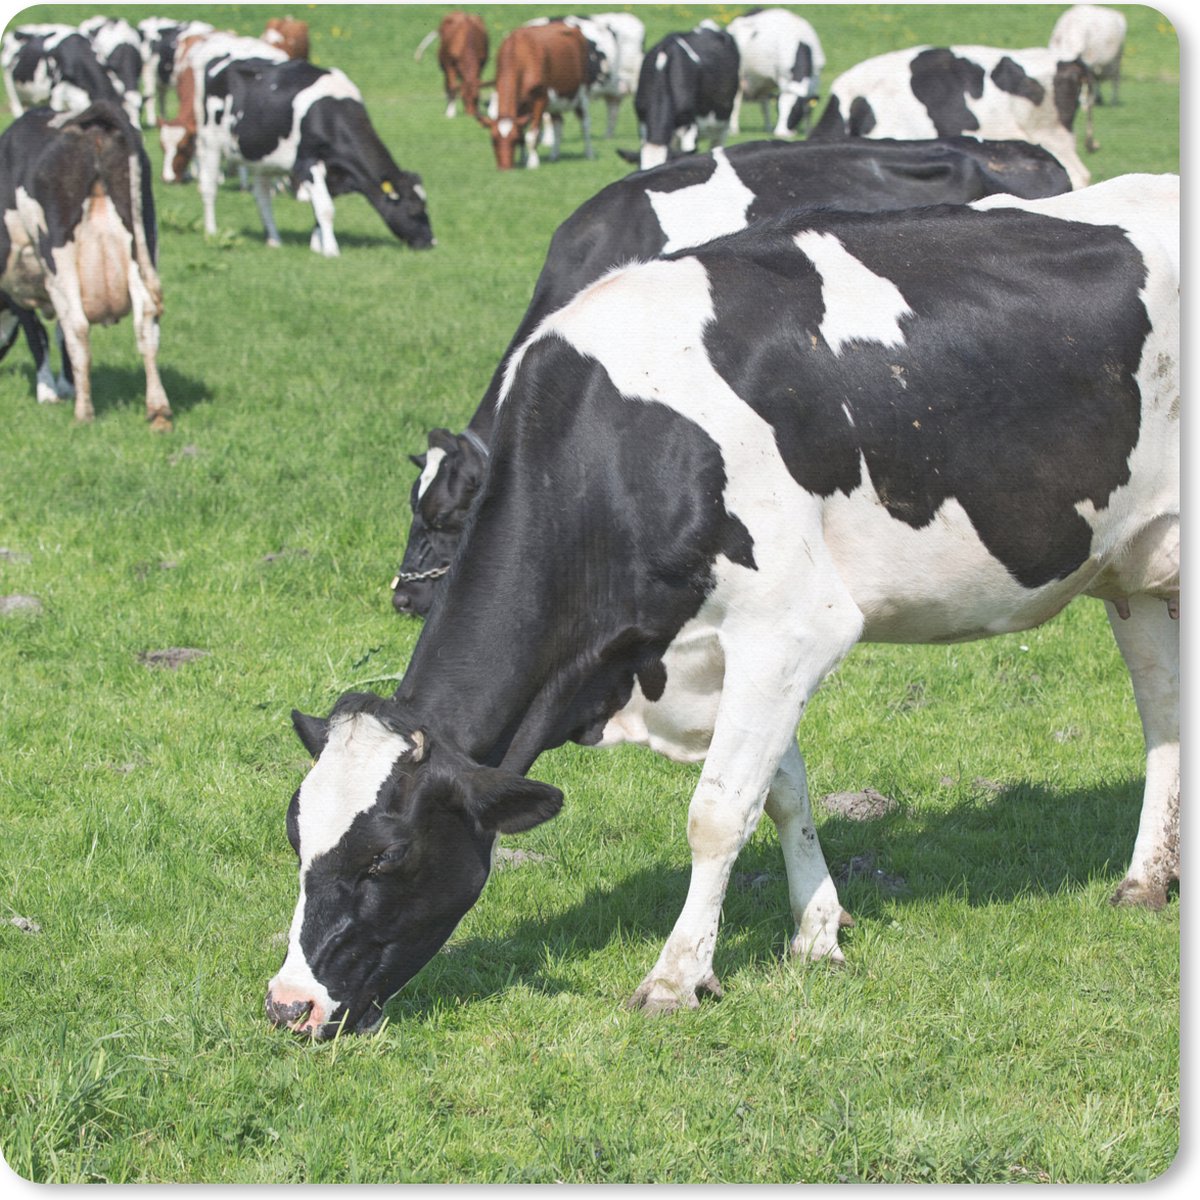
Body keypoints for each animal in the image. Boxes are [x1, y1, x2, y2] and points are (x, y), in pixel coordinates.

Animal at [0, 103, 171, 429]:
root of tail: (95, 118)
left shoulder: (20, 288)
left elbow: (39, 336)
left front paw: (48, 392)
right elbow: (56, 335)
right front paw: (65, 385)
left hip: (58, 255)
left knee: (78, 327)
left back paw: (83, 414)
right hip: (142, 239)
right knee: (146, 322)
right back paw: (158, 410)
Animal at [180, 56, 434, 255]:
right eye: (414, 210)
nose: (431, 242)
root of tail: (222, 63)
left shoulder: (332, 172)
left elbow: (320, 209)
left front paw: (316, 245)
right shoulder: (308, 163)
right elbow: (326, 209)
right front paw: (331, 250)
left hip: (261, 158)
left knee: (262, 198)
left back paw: (274, 239)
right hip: (210, 142)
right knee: (209, 188)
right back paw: (212, 230)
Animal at [477, 23, 593, 170]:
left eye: (513, 139)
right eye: (493, 140)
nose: (505, 168)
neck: (519, 54)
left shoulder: (540, 99)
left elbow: (531, 135)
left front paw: (532, 162)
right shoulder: (521, 105)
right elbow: (522, 132)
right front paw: (522, 159)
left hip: (582, 93)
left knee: (585, 123)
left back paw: (589, 153)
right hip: (555, 103)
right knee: (558, 124)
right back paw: (554, 156)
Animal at [727, 7, 825, 138]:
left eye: (796, 110)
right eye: (778, 109)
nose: (780, 133)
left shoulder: (816, 78)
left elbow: (809, 108)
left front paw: (809, 131)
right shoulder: (783, 78)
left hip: (764, 82)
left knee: (764, 104)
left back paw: (767, 128)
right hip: (738, 76)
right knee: (736, 103)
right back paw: (734, 130)